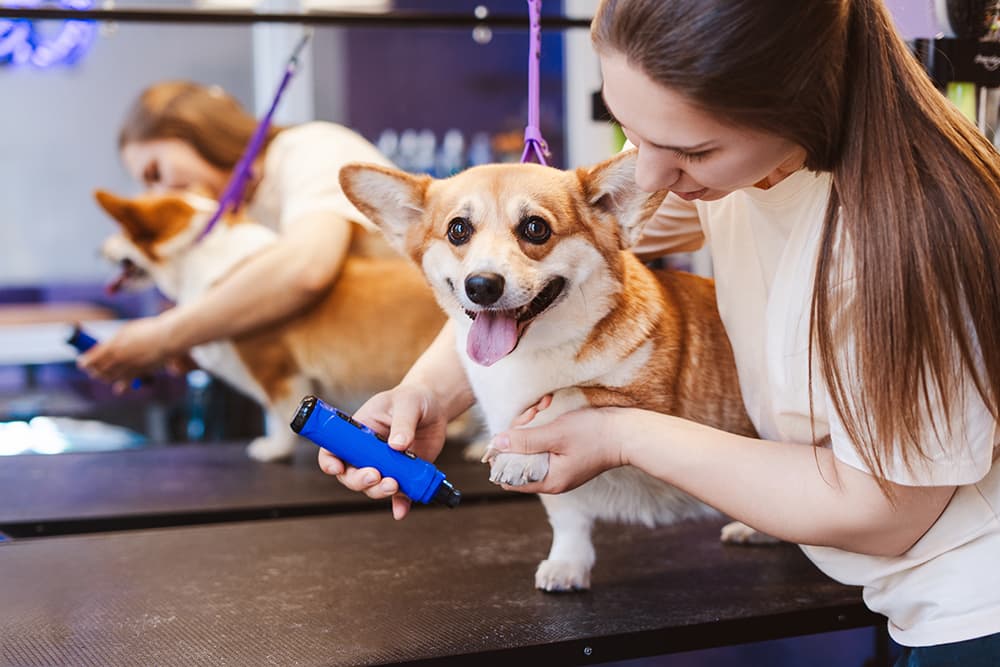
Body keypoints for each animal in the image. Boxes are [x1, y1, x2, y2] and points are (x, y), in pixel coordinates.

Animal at [340, 153, 760, 596]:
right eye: (458, 229)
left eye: (535, 228)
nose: (482, 286)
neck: (533, 354)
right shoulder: (557, 492)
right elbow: (567, 519)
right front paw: (567, 565)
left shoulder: (651, 401)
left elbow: (567, 395)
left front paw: (518, 452)